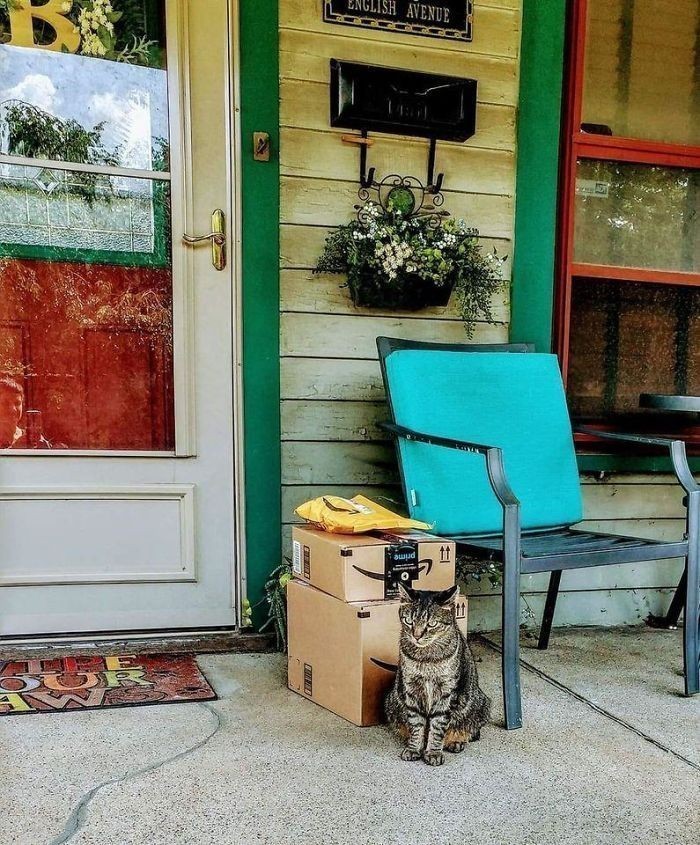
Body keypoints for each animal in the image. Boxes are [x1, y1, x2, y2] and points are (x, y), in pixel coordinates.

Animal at [382, 588, 492, 764]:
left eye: (431, 624)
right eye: (409, 621)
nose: (417, 635)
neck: (426, 658)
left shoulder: (446, 693)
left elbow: (438, 725)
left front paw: (433, 752)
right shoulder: (411, 689)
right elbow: (416, 724)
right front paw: (414, 748)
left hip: (480, 705)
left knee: (468, 729)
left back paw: (455, 742)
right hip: (391, 702)